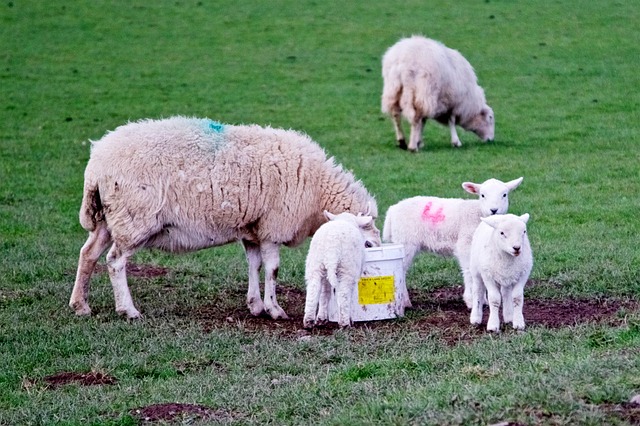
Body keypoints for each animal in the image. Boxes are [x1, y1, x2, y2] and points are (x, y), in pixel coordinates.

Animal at [70, 116, 380, 320]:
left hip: (108, 220)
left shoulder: (252, 228)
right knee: (114, 262)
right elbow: (272, 269)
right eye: (368, 244)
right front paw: (275, 309)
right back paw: (128, 310)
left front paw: (255, 305)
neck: (318, 190)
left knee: (88, 254)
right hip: (134, 219)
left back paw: (80, 305)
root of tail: (96, 164)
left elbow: (254, 265)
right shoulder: (272, 227)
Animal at [382, 175, 524, 308]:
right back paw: (405, 302)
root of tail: (392, 209)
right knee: (401, 270)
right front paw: (471, 301)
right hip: (405, 241)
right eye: (482, 195)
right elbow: (469, 271)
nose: (494, 210)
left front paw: (482, 300)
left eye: (504, 194)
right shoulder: (465, 244)